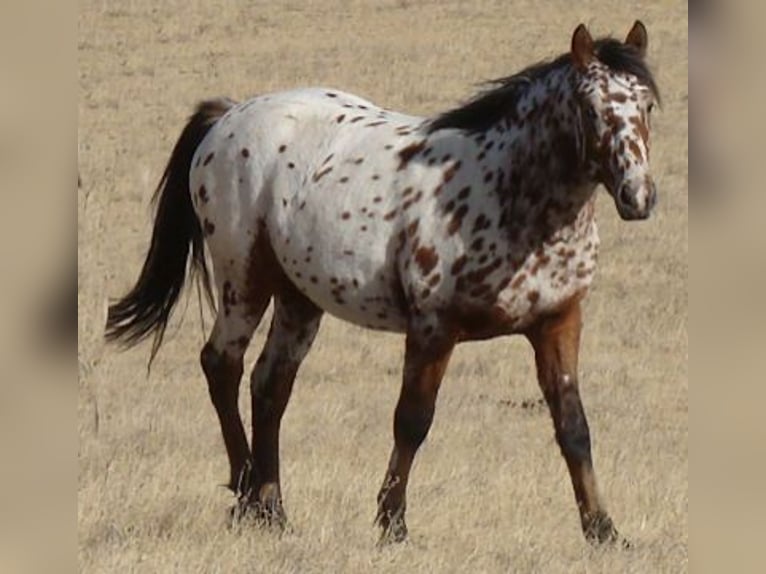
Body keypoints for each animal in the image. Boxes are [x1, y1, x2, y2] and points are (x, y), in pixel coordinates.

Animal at [106, 19, 660, 548]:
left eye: (648, 104)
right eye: (590, 109)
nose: (638, 196)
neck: (510, 190)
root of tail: (228, 115)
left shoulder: (557, 322)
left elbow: (573, 426)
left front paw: (604, 529)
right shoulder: (433, 329)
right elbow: (412, 420)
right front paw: (392, 523)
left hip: (298, 299)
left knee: (270, 384)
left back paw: (273, 510)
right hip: (244, 281)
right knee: (222, 364)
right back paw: (245, 494)